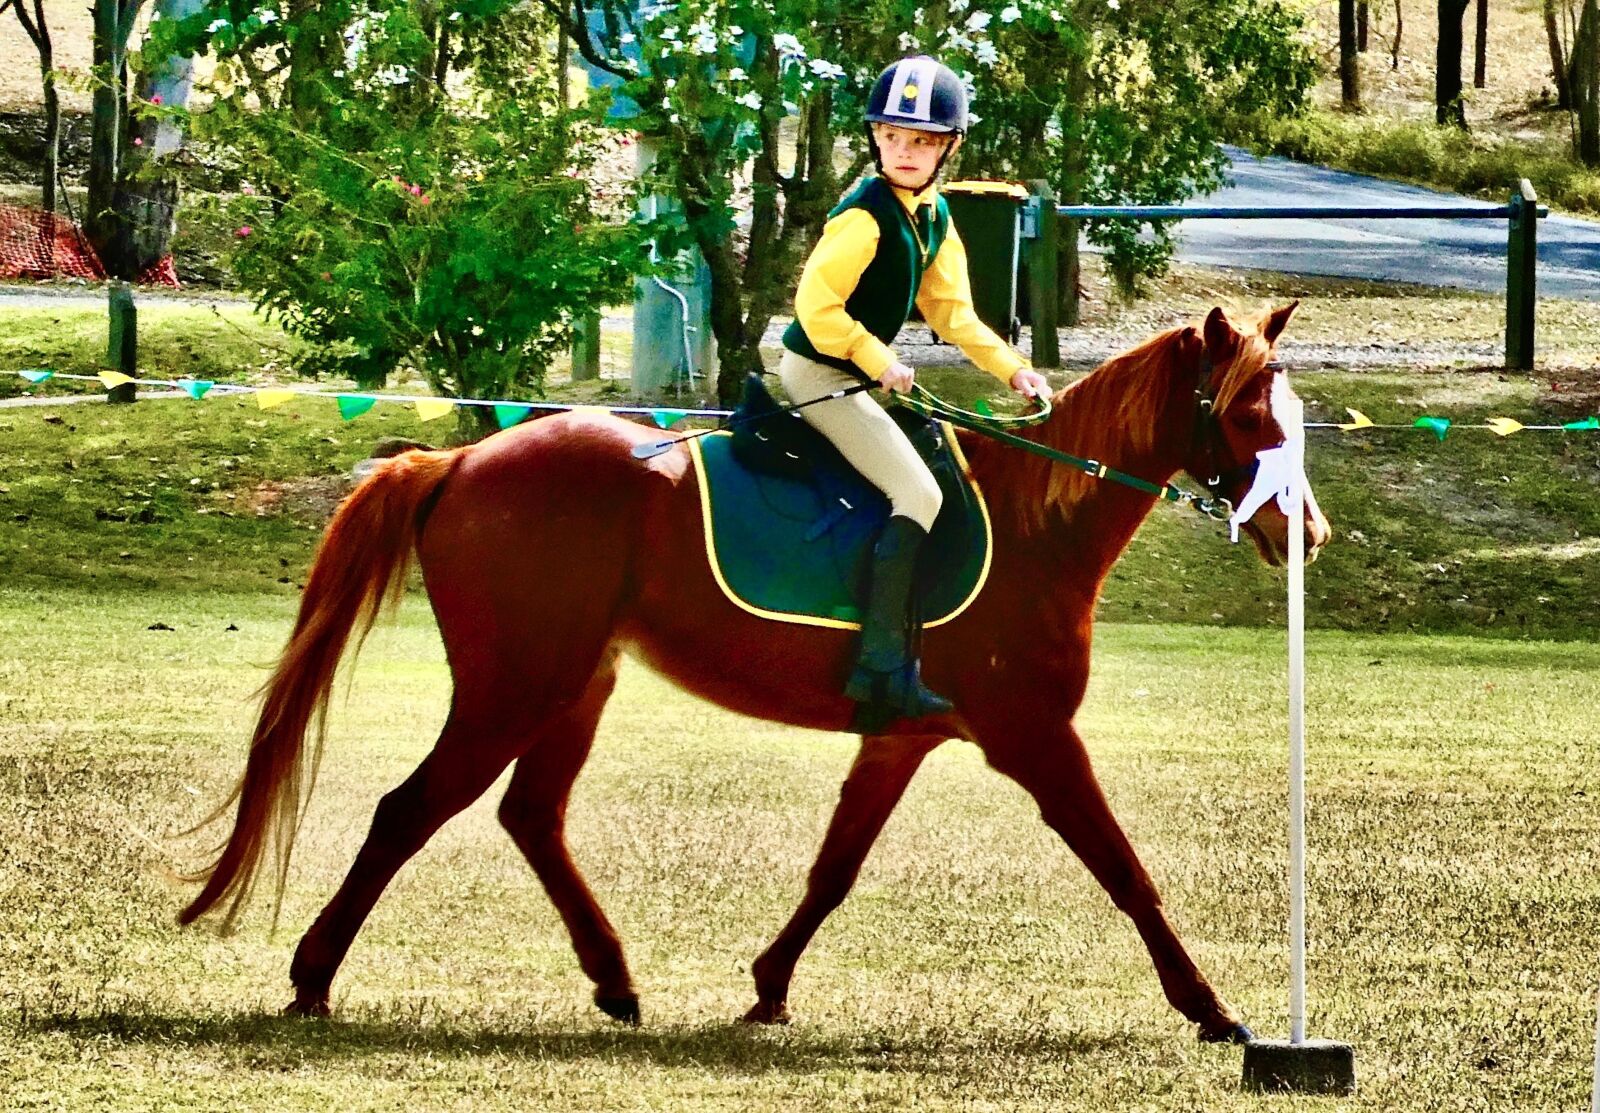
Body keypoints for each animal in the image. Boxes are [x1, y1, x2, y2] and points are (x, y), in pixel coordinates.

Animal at [179, 303, 1330, 1044]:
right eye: (1244, 415)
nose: (1305, 532)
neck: (1033, 522)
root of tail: (460, 459)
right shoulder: (1035, 738)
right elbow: (1126, 869)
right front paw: (1212, 1009)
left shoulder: (903, 736)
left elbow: (835, 867)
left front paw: (769, 988)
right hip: (515, 685)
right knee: (410, 809)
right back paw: (313, 980)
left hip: (574, 683)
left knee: (529, 815)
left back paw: (615, 983)